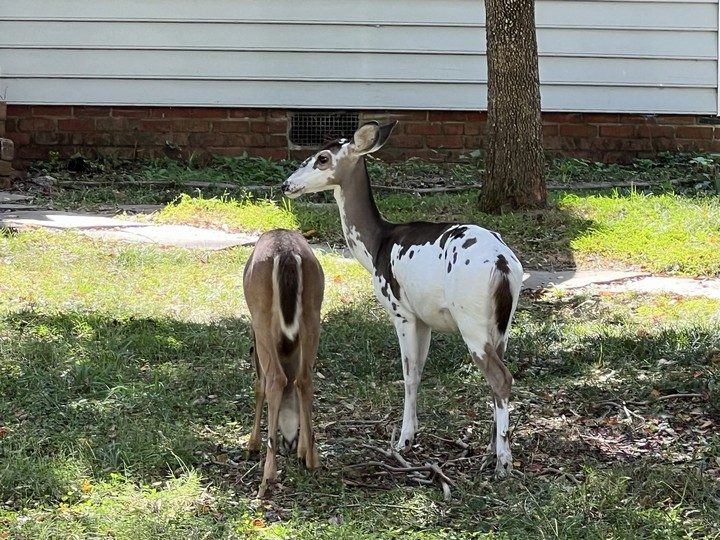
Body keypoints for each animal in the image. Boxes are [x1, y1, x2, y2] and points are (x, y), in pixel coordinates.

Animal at [243, 229, 324, 498]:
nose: (289, 442)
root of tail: (287, 253)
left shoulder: (256, 333)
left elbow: (259, 382)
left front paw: (252, 444)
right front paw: (303, 450)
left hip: (261, 317)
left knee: (276, 380)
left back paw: (266, 479)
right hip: (313, 312)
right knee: (304, 379)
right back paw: (313, 460)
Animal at [282, 123, 524, 476]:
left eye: (323, 158)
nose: (286, 184)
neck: (376, 246)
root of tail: (503, 264)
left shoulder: (401, 311)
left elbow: (409, 374)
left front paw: (404, 440)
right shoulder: (425, 318)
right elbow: (419, 371)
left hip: (471, 320)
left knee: (500, 376)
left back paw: (503, 463)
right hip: (501, 323)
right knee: (499, 374)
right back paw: (491, 449)